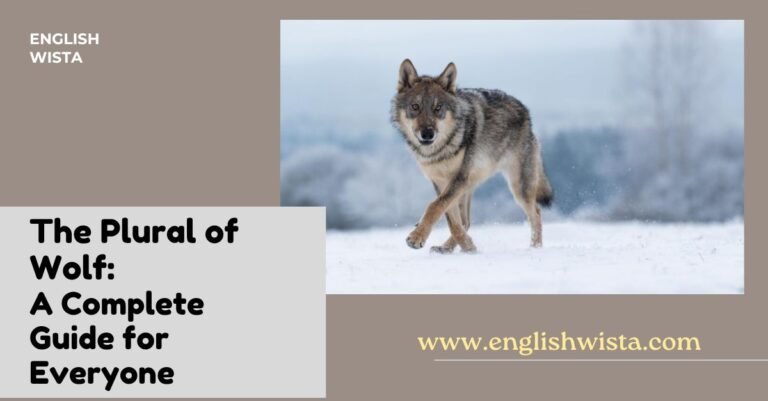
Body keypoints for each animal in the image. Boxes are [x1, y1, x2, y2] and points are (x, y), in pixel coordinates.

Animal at [391, 59, 553, 252]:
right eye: (415, 107)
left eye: (438, 108)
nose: (428, 134)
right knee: (466, 221)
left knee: (536, 213)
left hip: (518, 187)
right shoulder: (441, 182)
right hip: (470, 187)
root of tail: (526, 112)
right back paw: (447, 248)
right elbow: (451, 219)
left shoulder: (459, 178)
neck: (440, 151)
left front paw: (416, 238)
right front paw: (468, 246)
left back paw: (535, 247)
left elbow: (435, 206)